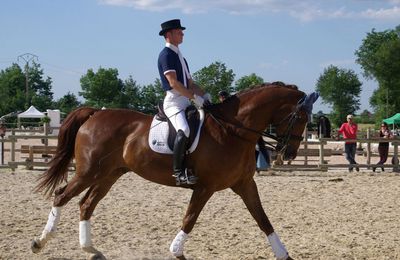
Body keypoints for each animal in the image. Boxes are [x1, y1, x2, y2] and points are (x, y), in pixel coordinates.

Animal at [31, 83, 318, 260]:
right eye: (300, 118)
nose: (288, 154)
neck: (232, 130)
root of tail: (93, 114)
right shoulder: (205, 187)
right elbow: (190, 218)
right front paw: (176, 250)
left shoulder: (245, 184)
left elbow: (263, 219)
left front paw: (284, 254)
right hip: (89, 172)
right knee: (62, 196)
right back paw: (40, 242)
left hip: (109, 174)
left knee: (86, 204)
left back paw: (90, 249)